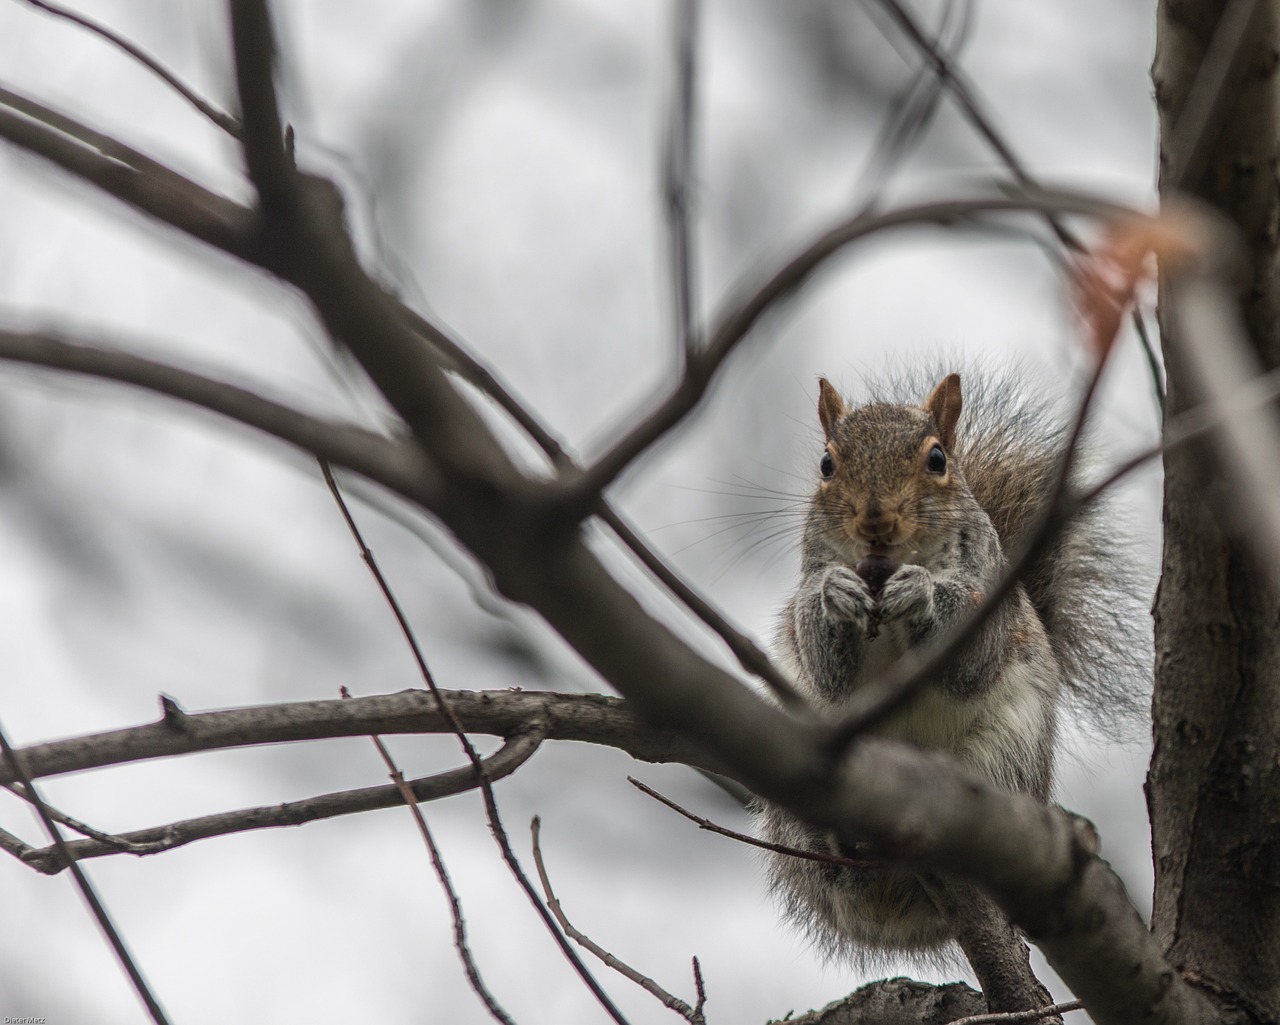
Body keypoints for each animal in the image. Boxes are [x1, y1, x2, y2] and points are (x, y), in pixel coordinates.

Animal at [752, 365, 1146, 962]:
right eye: (826, 464)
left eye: (937, 460)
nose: (876, 519)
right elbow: (826, 666)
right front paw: (836, 593)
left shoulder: (991, 595)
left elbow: (970, 662)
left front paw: (921, 592)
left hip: (1006, 760)